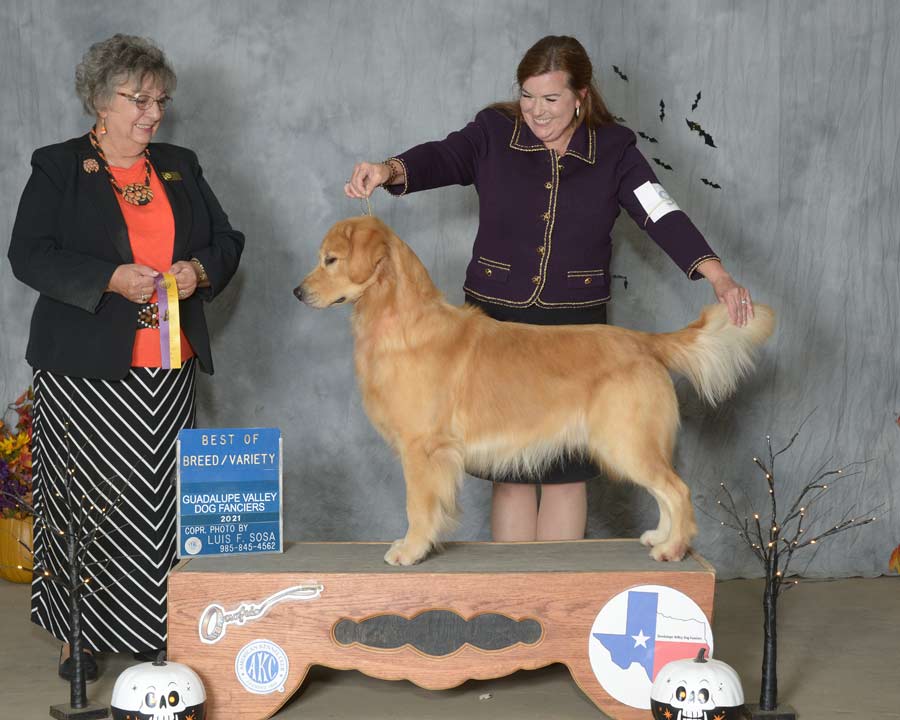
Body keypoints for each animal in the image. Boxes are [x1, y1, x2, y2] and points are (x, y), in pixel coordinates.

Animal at [296, 217, 772, 564]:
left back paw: (673, 548)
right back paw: (660, 537)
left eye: (331, 260)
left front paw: (410, 551)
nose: (298, 291)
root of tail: (644, 341)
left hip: (625, 441)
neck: (399, 322)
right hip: (628, 443)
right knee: (665, 492)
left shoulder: (423, 448)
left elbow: (418, 506)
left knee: (678, 490)